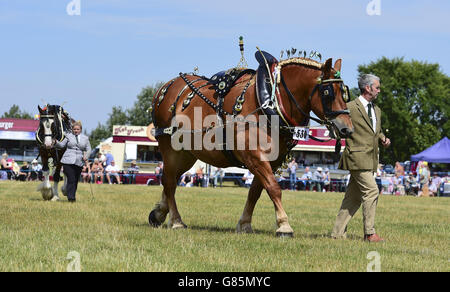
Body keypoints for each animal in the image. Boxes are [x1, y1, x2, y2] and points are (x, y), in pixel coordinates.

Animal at [149, 50, 354, 237]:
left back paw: (160, 212)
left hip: (187, 154)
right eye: (328, 93)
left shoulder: (273, 160)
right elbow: (274, 188)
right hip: (169, 147)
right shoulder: (254, 156)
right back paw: (176, 220)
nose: (347, 129)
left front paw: (245, 224)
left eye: (344, 93)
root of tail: (164, 88)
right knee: (169, 181)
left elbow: (255, 191)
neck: (270, 102)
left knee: (172, 180)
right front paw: (284, 225)